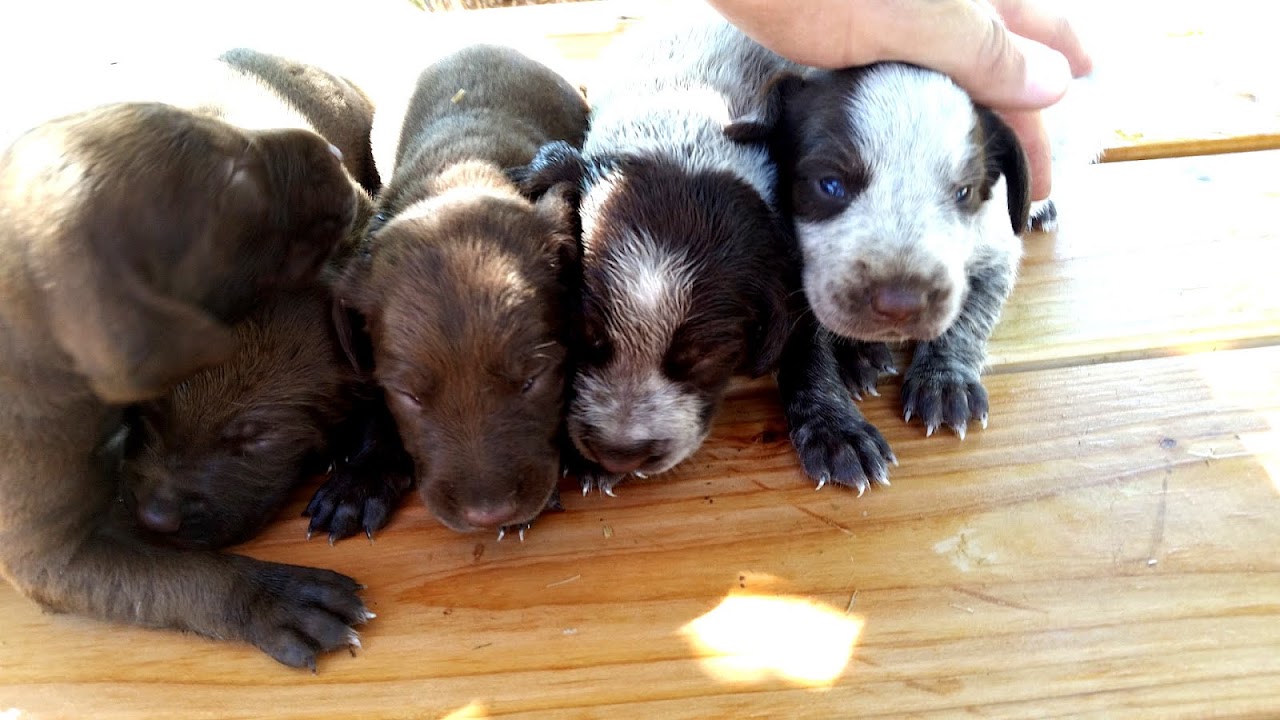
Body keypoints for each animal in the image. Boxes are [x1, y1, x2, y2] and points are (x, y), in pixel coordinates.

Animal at [1, 103, 371, 671]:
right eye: (237, 184)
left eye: (255, 438)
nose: (155, 519)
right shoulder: (52, 553)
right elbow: (182, 575)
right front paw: (275, 597)